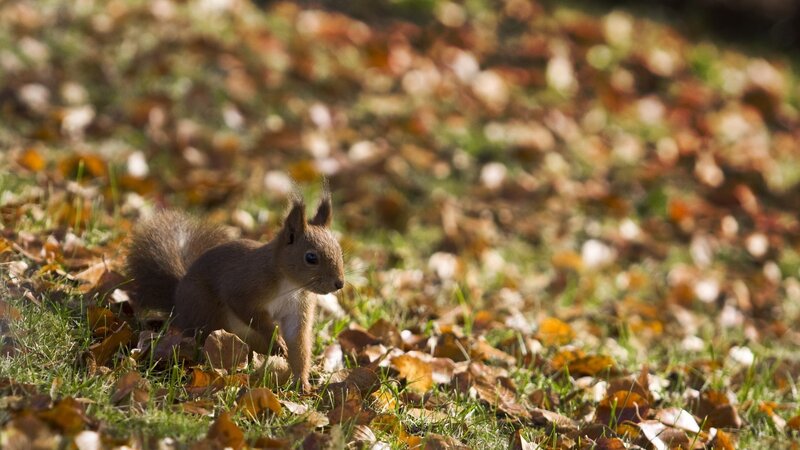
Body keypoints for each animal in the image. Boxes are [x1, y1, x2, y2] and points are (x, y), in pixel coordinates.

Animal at [125, 188, 345, 392]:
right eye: (311, 257)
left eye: (339, 250)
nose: (339, 283)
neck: (291, 285)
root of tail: (178, 302)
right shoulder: (244, 286)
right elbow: (248, 311)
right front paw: (277, 342)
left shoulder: (299, 308)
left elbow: (298, 341)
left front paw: (302, 383)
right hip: (206, 311)